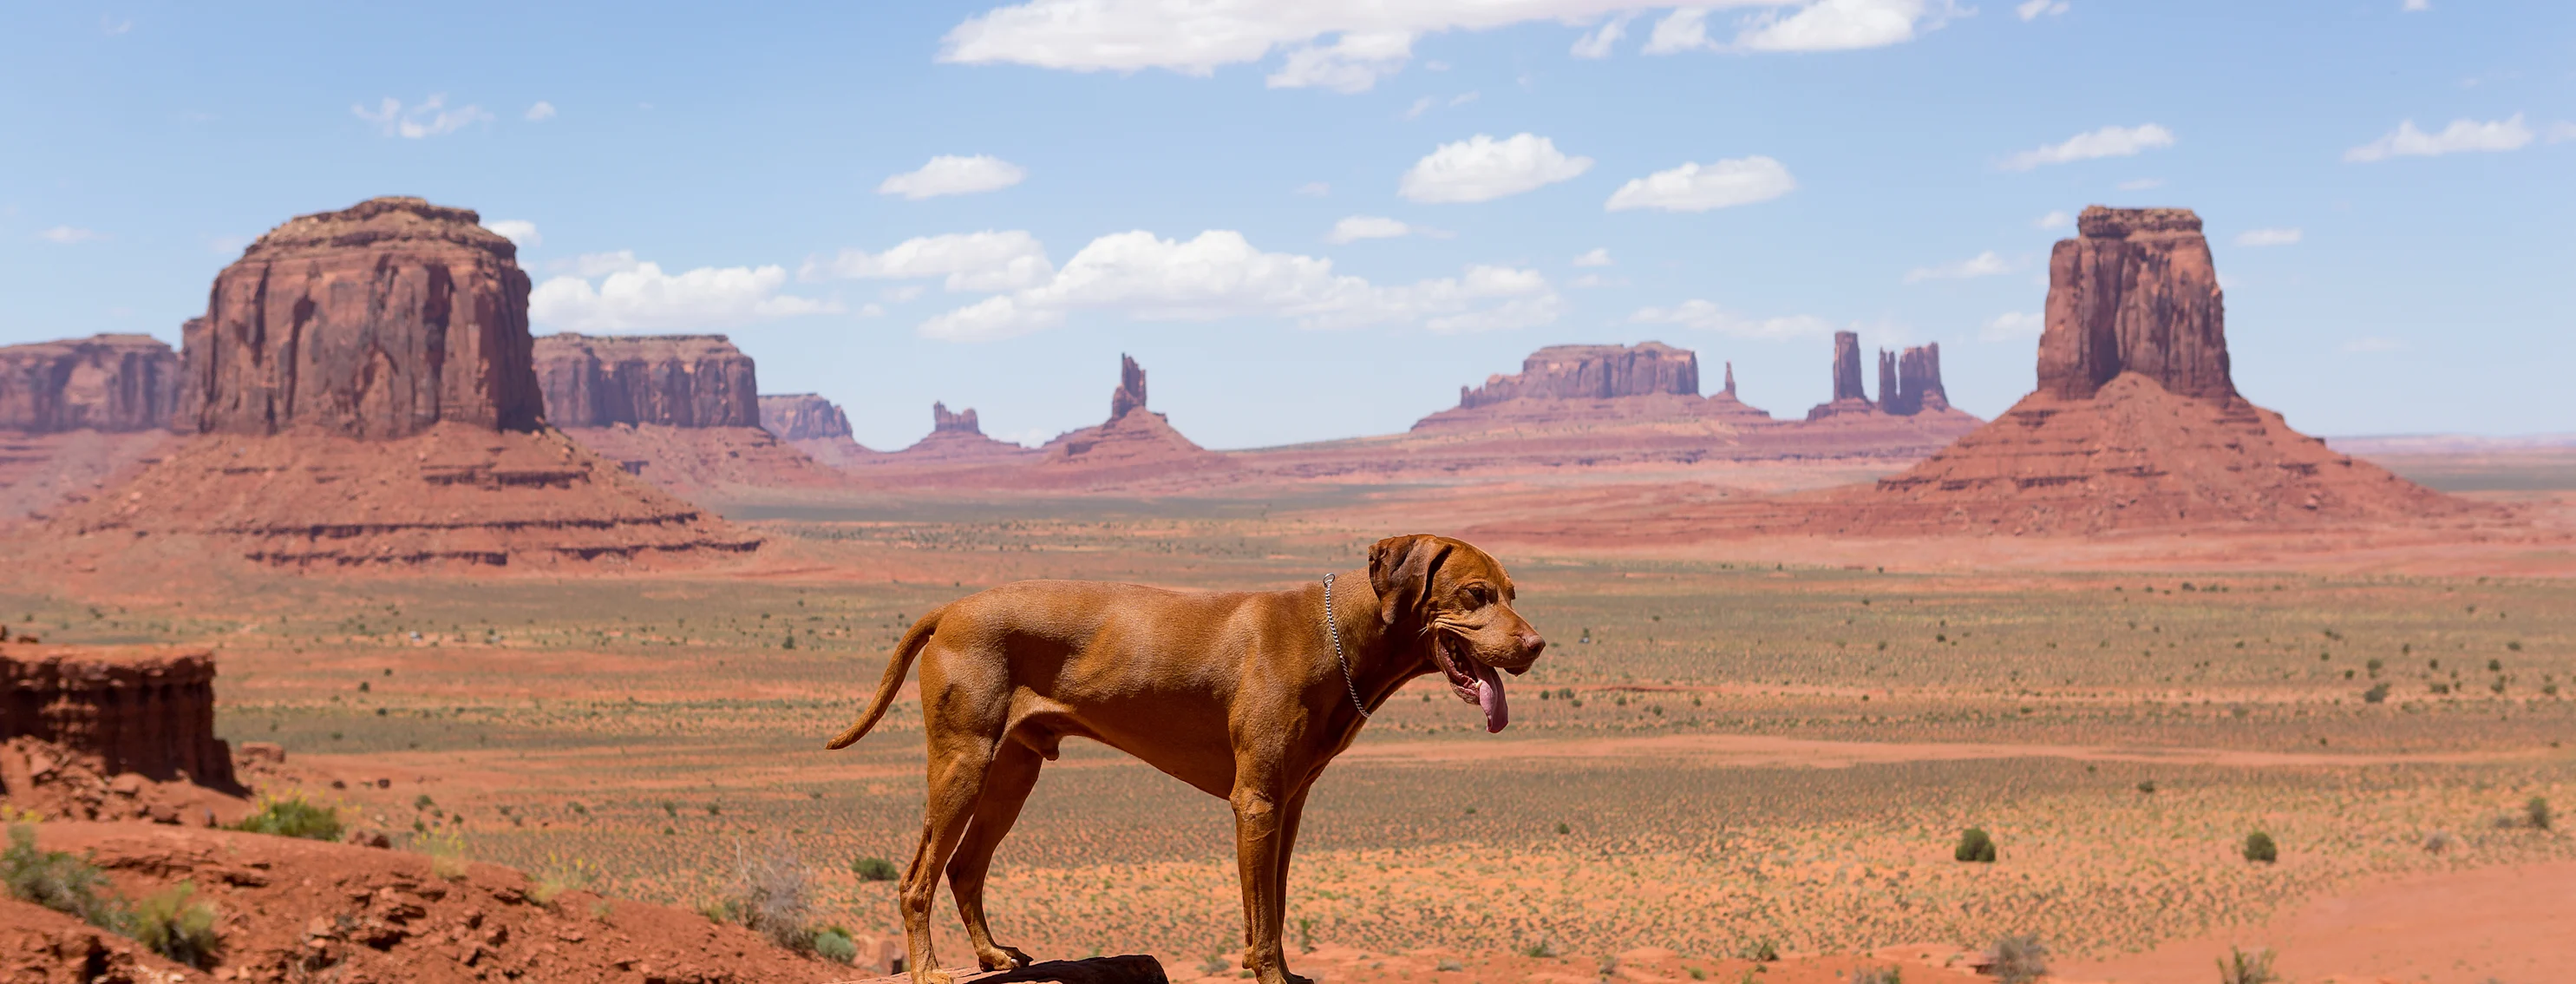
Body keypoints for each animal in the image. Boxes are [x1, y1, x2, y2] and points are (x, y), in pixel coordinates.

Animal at [829, 533, 1546, 984]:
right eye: (1476, 594)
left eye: (1514, 591)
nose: (1537, 645)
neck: (1338, 632)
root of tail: (950, 607)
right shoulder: (1255, 802)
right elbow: (1263, 919)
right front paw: (1271, 975)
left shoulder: (1287, 806)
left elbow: (1275, 903)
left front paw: (1287, 971)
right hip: (964, 764)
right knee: (918, 877)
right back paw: (928, 970)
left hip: (1011, 774)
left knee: (963, 868)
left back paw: (991, 955)